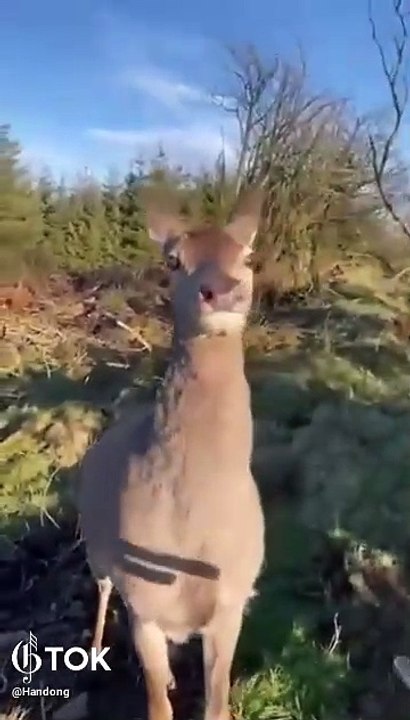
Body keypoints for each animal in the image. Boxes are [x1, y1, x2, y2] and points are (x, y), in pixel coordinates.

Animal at [78, 195, 266, 720]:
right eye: (173, 260)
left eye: (247, 255)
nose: (220, 291)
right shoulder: (144, 608)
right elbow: (156, 704)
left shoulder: (230, 605)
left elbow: (217, 703)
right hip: (96, 549)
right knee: (101, 588)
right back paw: (95, 651)